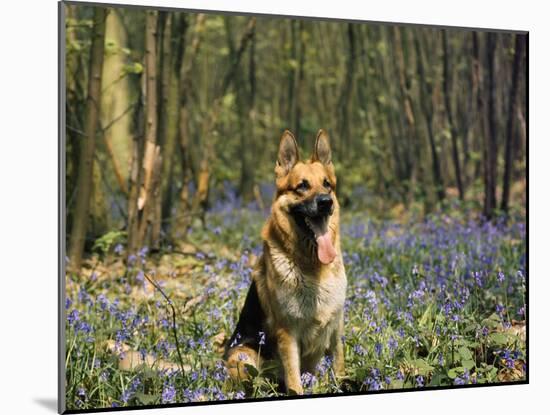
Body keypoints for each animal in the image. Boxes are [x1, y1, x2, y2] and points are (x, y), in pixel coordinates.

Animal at [223, 130, 344, 396]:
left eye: (327, 184)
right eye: (302, 186)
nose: (326, 202)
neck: (312, 266)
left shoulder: (335, 328)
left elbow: (340, 367)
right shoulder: (288, 334)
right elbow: (294, 381)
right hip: (243, 356)